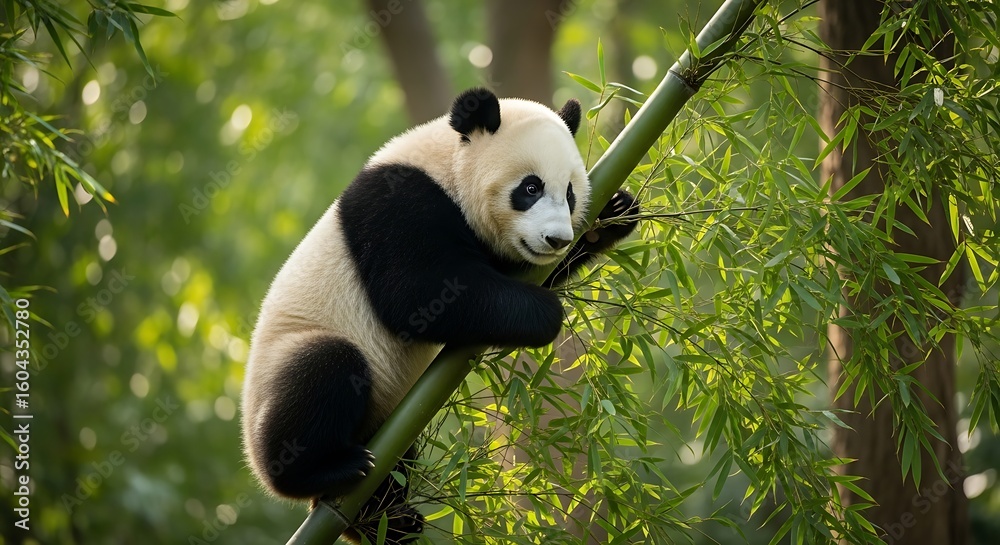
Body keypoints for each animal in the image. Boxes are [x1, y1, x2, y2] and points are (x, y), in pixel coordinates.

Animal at [241, 88, 638, 544]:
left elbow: (515, 273)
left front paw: (614, 213)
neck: (448, 166)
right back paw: (323, 471)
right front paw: (544, 313)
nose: (555, 239)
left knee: (392, 470)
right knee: (322, 370)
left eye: (570, 193)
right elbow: (416, 294)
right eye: (531, 187)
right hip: (293, 358)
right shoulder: (399, 203)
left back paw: (387, 521)